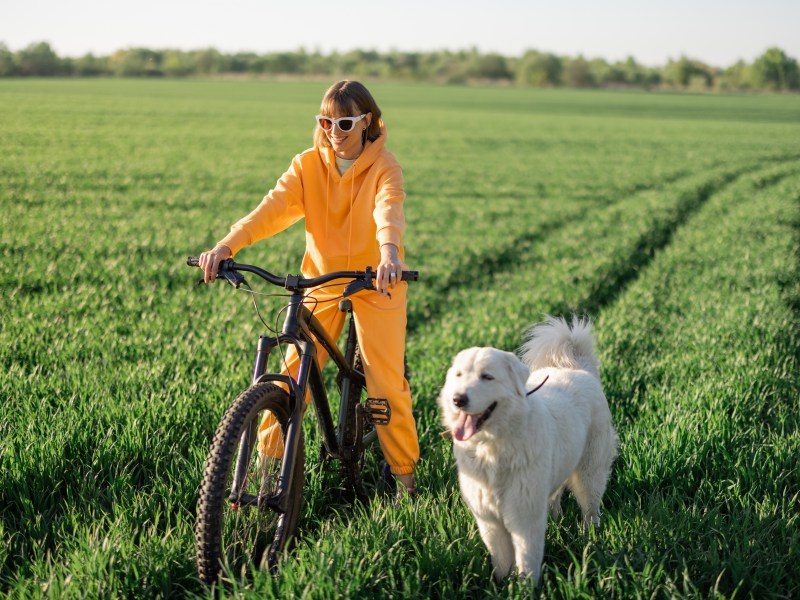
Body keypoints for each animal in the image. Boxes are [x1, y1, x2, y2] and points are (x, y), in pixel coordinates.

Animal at [438, 316, 620, 584]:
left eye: (487, 377)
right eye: (459, 375)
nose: (458, 399)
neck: (492, 448)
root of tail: (580, 368)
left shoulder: (524, 517)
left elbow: (527, 560)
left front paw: (525, 588)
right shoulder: (490, 521)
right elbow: (502, 561)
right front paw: (502, 586)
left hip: (590, 471)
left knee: (590, 507)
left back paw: (590, 537)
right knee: (555, 497)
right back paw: (557, 520)